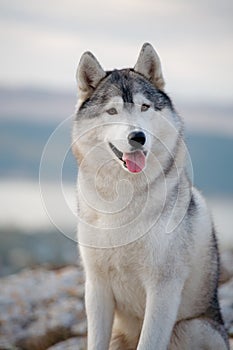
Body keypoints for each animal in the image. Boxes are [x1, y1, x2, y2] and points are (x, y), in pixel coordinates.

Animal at [71, 42, 229, 348]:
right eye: (112, 111)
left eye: (144, 107)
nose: (137, 137)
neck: (123, 201)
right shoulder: (96, 287)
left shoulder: (163, 289)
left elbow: (149, 341)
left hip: (190, 328)